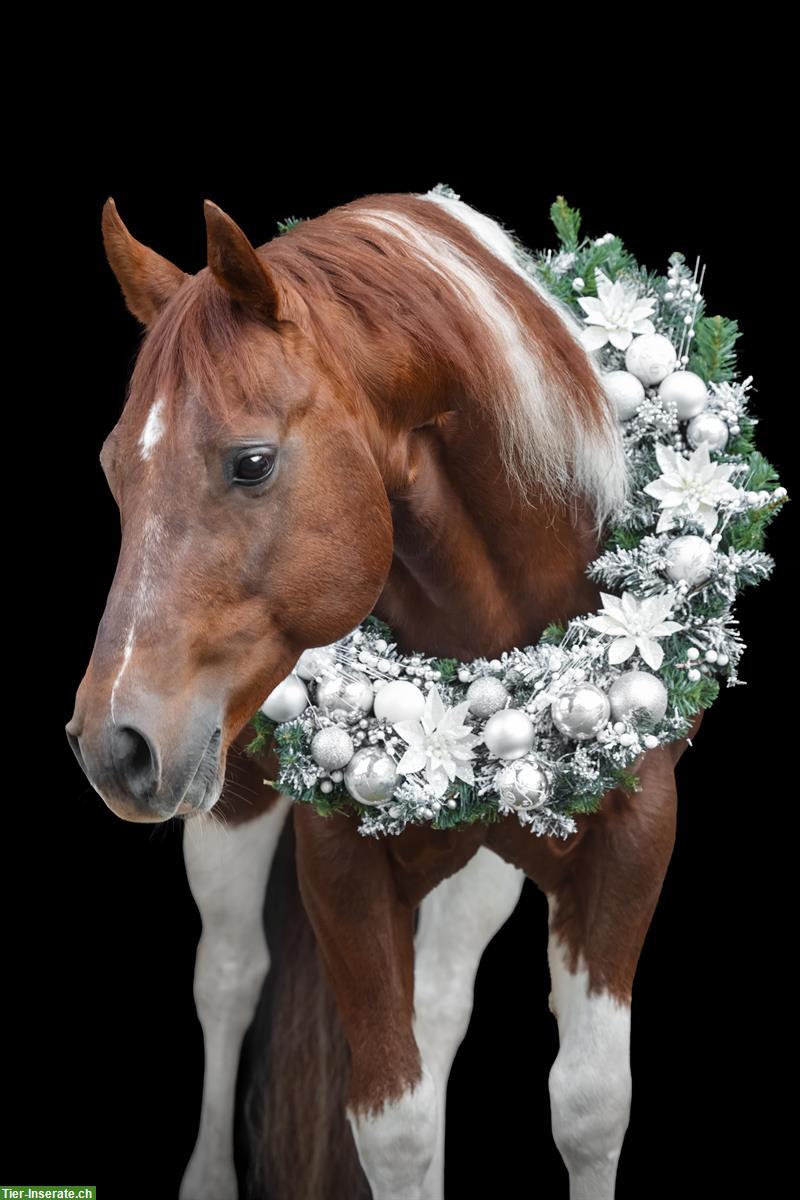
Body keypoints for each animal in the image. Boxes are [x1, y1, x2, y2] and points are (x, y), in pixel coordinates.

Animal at [66, 185, 705, 1199]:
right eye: (114, 467)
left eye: (251, 461)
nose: (111, 743)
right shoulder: (340, 864)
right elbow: (391, 1124)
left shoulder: (636, 836)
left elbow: (592, 1104)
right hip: (235, 806)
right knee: (229, 976)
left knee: (438, 1007)